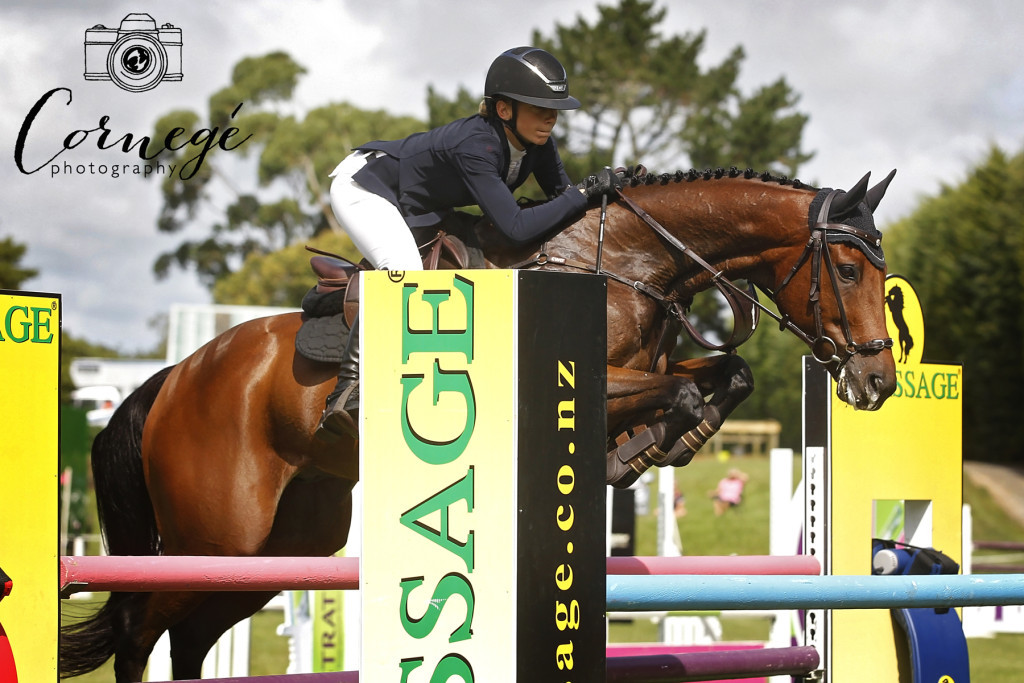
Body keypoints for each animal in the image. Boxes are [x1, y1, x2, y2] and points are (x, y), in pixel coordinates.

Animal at [61, 163, 897, 679]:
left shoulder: (649, 369)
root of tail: (174, 376)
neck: (627, 262)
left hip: (283, 545)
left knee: (190, 634)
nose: (879, 381)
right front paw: (630, 454)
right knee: (139, 628)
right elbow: (682, 394)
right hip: (218, 534)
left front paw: (657, 445)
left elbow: (723, 377)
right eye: (847, 268)